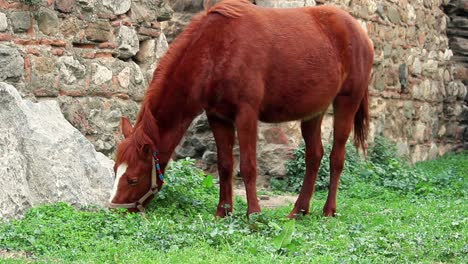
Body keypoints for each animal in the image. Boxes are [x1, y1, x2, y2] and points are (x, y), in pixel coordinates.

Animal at [109, 0, 372, 218]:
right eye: (114, 171)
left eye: (132, 180)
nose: (114, 210)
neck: (215, 49)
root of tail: (360, 31)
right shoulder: (218, 117)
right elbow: (225, 166)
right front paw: (223, 212)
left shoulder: (246, 115)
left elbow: (248, 166)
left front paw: (253, 215)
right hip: (313, 111)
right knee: (314, 156)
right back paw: (298, 211)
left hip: (346, 103)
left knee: (336, 157)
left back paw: (328, 210)